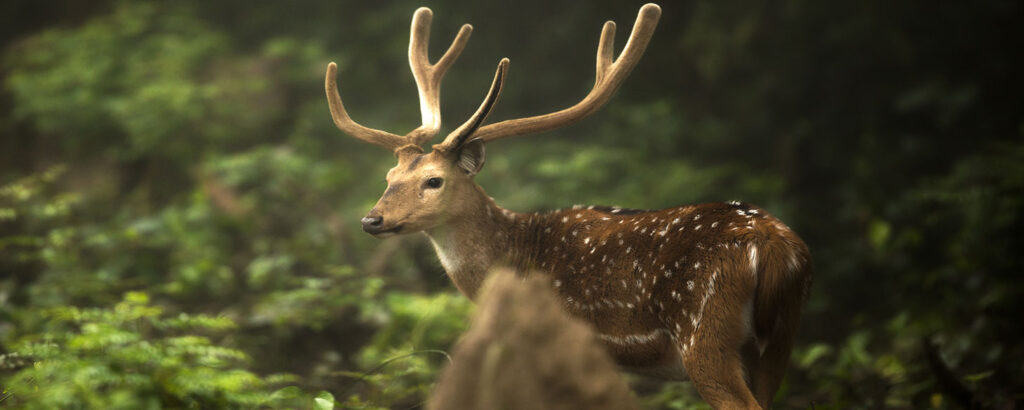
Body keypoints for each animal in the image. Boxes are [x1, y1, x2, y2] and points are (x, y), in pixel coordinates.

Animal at [323, 4, 811, 410]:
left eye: (433, 180)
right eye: (389, 178)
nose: (371, 219)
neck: (515, 253)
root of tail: (775, 245)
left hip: (704, 331)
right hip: (780, 337)